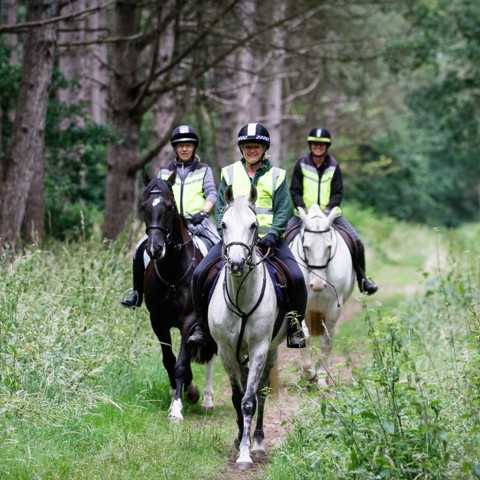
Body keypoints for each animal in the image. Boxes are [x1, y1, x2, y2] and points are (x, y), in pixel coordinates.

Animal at [142, 171, 217, 422]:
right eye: (144, 206)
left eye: (168, 206)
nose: (155, 249)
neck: (173, 271)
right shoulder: (158, 321)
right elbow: (169, 360)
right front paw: (181, 390)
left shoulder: (189, 320)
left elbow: (182, 364)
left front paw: (178, 407)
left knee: (213, 354)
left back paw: (207, 400)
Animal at [208, 186, 286, 470]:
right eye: (223, 224)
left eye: (254, 225)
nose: (236, 263)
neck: (241, 297)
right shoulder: (226, 351)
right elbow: (235, 397)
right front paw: (240, 438)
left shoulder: (259, 348)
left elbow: (249, 401)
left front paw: (245, 453)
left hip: (271, 351)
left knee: (261, 391)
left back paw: (259, 441)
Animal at [286, 204, 354, 388]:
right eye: (306, 247)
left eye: (329, 247)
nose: (317, 285)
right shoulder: (301, 307)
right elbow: (305, 336)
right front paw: (309, 374)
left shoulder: (334, 308)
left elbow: (326, 342)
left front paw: (321, 378)